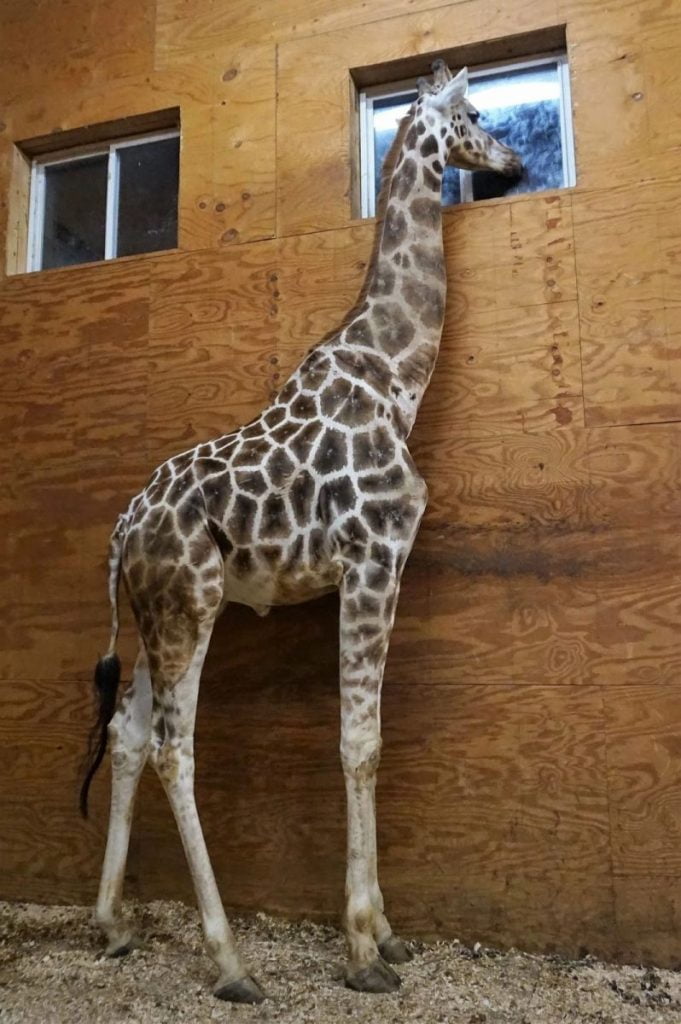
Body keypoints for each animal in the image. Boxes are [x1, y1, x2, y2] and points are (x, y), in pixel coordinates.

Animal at [79, 59, 520, 1003]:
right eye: (472, 111)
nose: (512, 161)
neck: (396, 374)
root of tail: (123, 531)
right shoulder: (373, 559)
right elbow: (360, 742)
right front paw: (362, 948)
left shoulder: (372, 569)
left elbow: (367, 740)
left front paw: (387, 934)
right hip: (190, 607)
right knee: (173, 746)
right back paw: (230, 962)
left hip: (159, 615)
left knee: (129, 736)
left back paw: (113, 926)